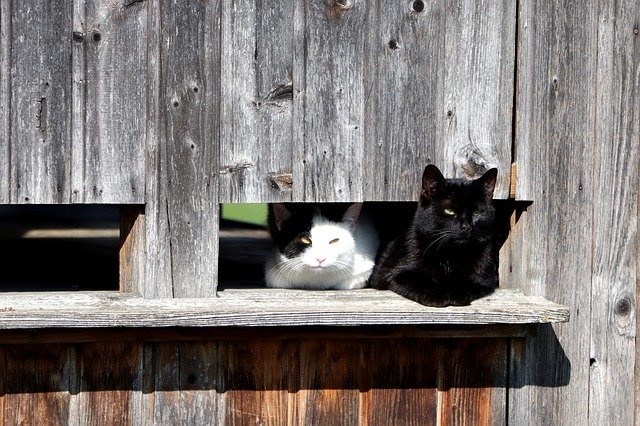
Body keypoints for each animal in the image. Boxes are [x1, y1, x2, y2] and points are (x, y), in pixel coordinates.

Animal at [370, 163, 500, 306]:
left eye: (476, 213)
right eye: (449, 211)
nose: (466, 227)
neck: (451, 254)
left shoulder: (485, 280)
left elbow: (467, 283)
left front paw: (456, 292)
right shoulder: (395, 275)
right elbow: (419, 282)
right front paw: (436, 295)